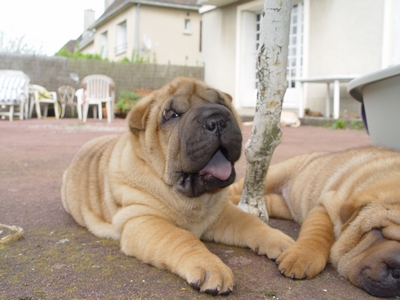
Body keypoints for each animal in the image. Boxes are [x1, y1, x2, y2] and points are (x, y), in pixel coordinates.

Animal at [61, 77, 294, 296]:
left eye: (222, 104)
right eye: (173, 115)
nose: (217, 120)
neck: (193, 199)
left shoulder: (221, 213)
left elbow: (250, 222)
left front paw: (282, 242)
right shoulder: (143, 219)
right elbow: (182, 237)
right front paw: (211, 267)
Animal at [228, 146, 400, 298]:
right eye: (378, 230)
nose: (398, 269)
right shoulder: (326, 204)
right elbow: (318, 234)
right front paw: (301, 258)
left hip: (283, 205)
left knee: (266, 201)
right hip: (276, 173)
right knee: (238, 187)